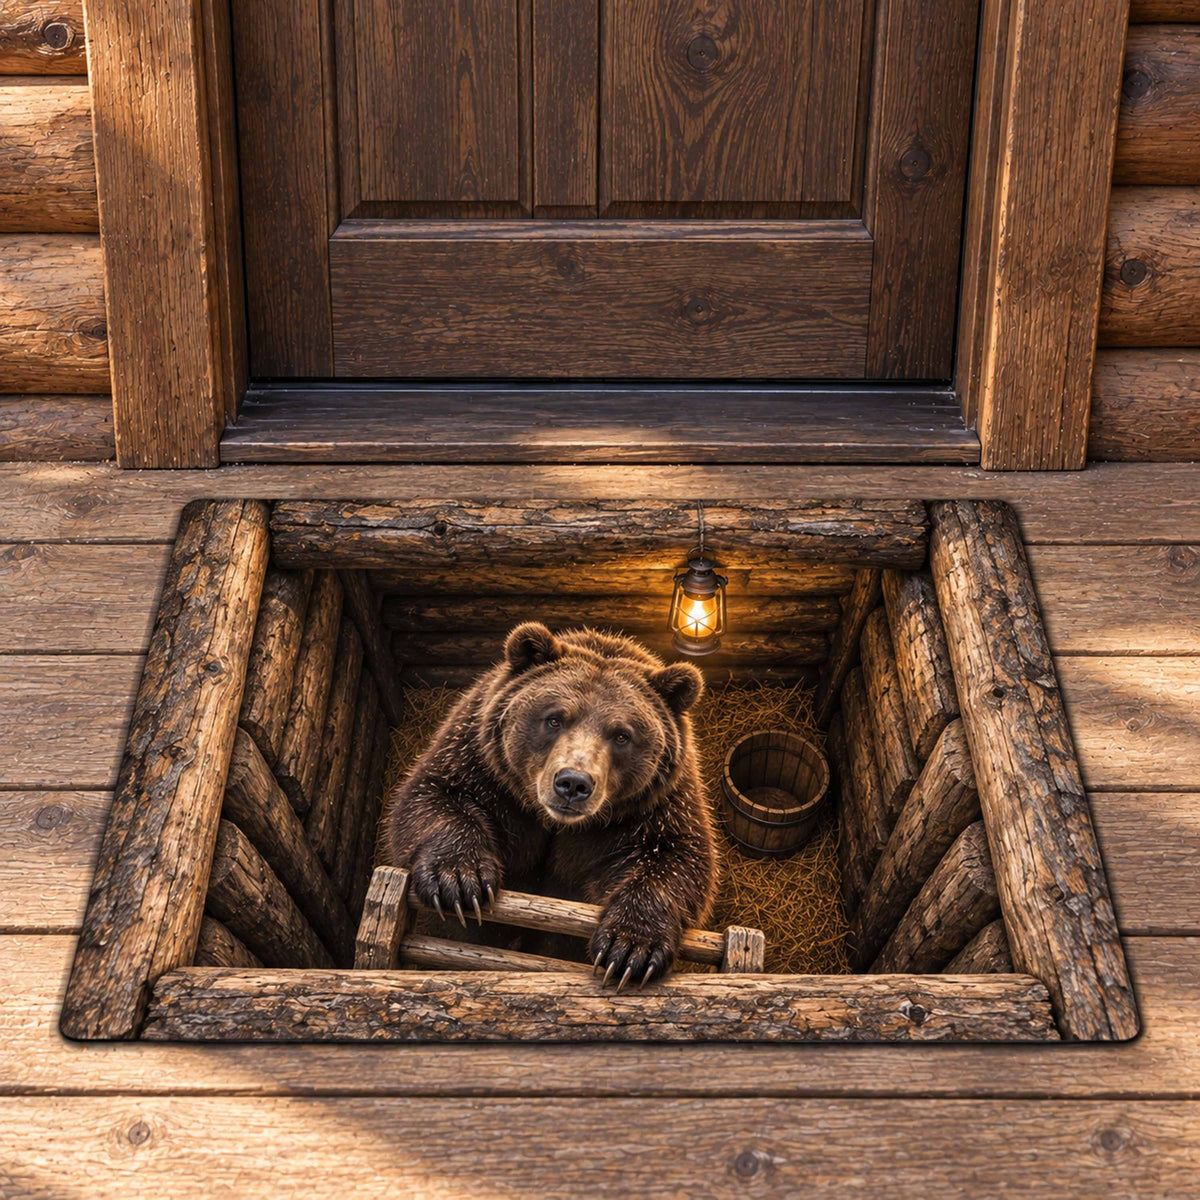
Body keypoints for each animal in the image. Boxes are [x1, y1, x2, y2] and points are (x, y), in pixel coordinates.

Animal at [383, 621, 718, 988]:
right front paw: (458, 880)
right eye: (555, 719)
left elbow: (677, 856)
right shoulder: (481, 762)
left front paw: (631, 949)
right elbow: (433, 795)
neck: (555, 823)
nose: (573, 783)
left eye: (621, 735)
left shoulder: (652, 808)